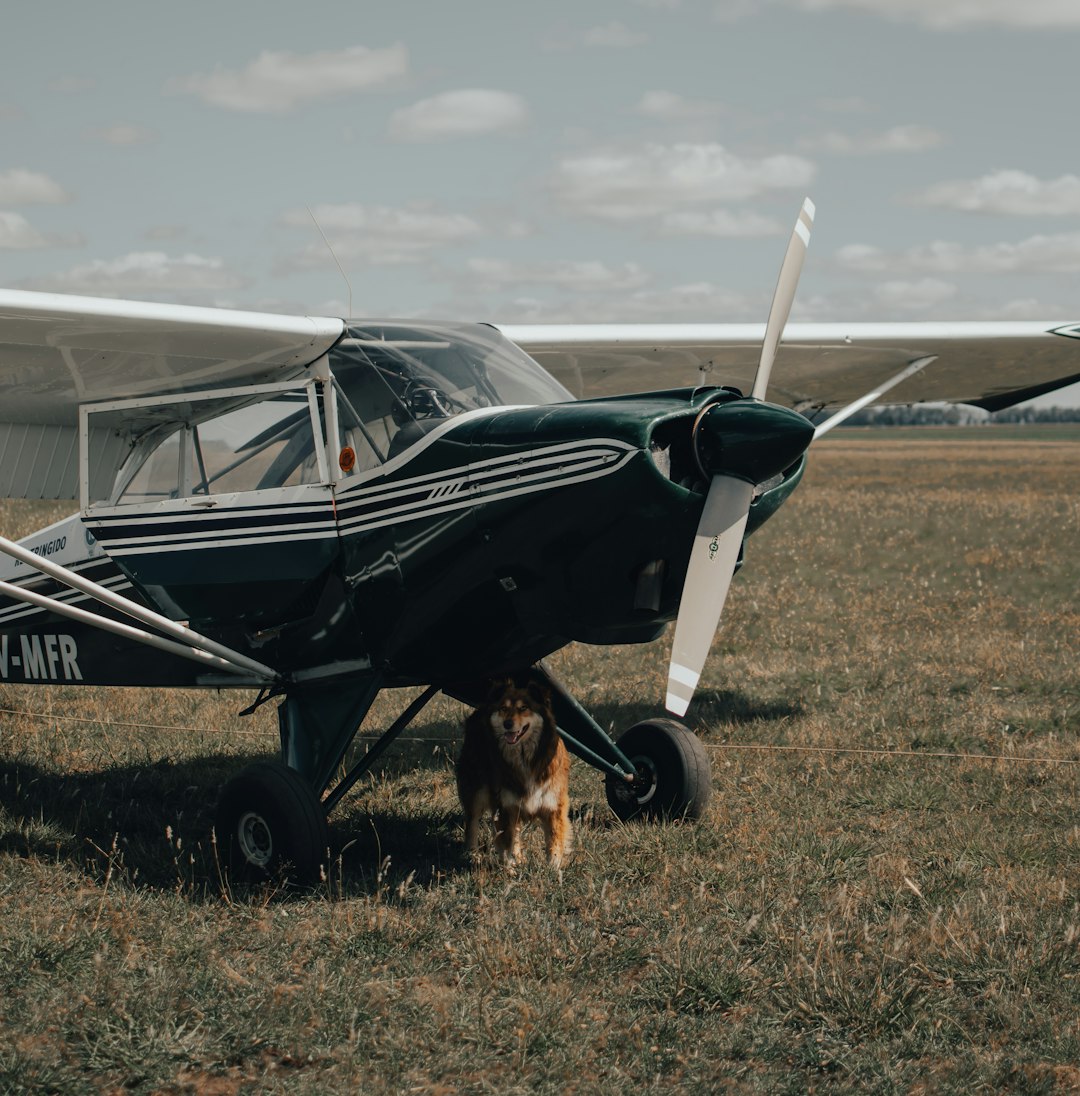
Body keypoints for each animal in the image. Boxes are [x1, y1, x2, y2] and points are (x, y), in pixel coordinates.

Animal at [456, 675, 574, 863]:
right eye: (503, 708)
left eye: (524, 708)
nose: (507, 724)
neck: (524, 757)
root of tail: (482, 708)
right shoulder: (506, 806)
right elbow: (507, 841)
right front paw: (510, 866)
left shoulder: (553, 804)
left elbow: (554, 841)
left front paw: (553, 867)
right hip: (476, 788)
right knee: (472, 821)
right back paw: (472, 853)